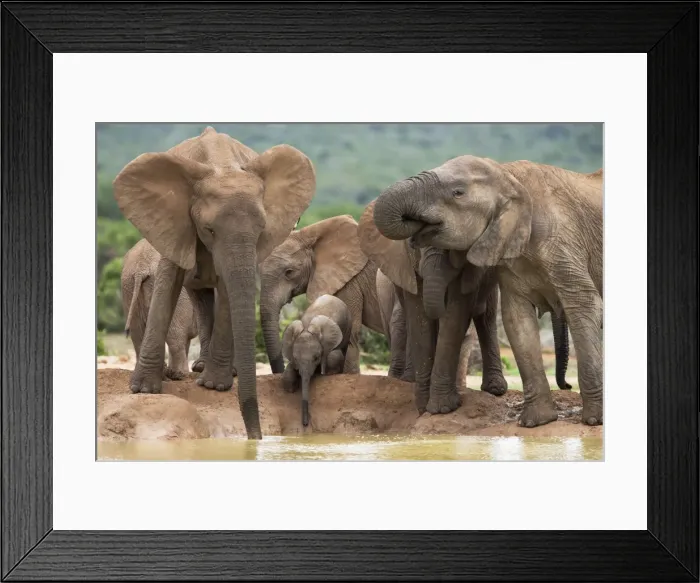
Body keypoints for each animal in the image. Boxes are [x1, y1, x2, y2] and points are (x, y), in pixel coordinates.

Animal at [281, 294, 351, 426]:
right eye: (296, 358)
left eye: (316, 357)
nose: (305, 424)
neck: (307, 327)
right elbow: (289, 367)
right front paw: (290, 389)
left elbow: (332, 354)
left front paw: (329, 373)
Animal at [372, 156, 602, 427]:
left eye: (457, 192)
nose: (567, 386)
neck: (507, 174)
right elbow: (517, 319)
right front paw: (536, 422)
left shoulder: (563, 241)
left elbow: (583, 305)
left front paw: (594, 420)